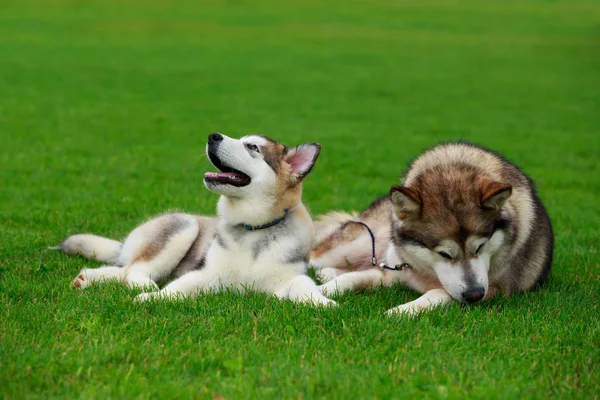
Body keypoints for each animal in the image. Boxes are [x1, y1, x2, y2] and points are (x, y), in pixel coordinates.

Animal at [52, 133, 336, 304]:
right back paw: (143, 286)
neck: (253, 229)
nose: (213, 136)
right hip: (183, 228)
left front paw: (325, 303)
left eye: (252, 147)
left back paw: (86, 278)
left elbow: (304, 286)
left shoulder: (287, 278)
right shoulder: (207, 274)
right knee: (134, 270)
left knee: (121, 270)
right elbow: (176, 288)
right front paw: (152, 299)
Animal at [314, 142, 552, 314]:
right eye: (444, 254)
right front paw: (318, 292)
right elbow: (351, 278)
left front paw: (402, 310)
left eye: (480, 247)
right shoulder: (392, 273)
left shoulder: (497, 289)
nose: (474, 295)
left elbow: (439, 292)